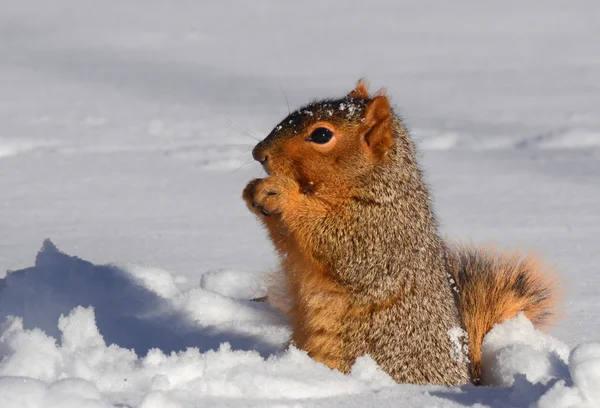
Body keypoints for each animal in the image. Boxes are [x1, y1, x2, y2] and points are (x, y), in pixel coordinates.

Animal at [240, 79, 556, 386]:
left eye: (321, 135)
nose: (258, 153)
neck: (376, 183)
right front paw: (253, 190)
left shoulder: (380, 233)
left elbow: (338, 243)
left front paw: (281, 193)